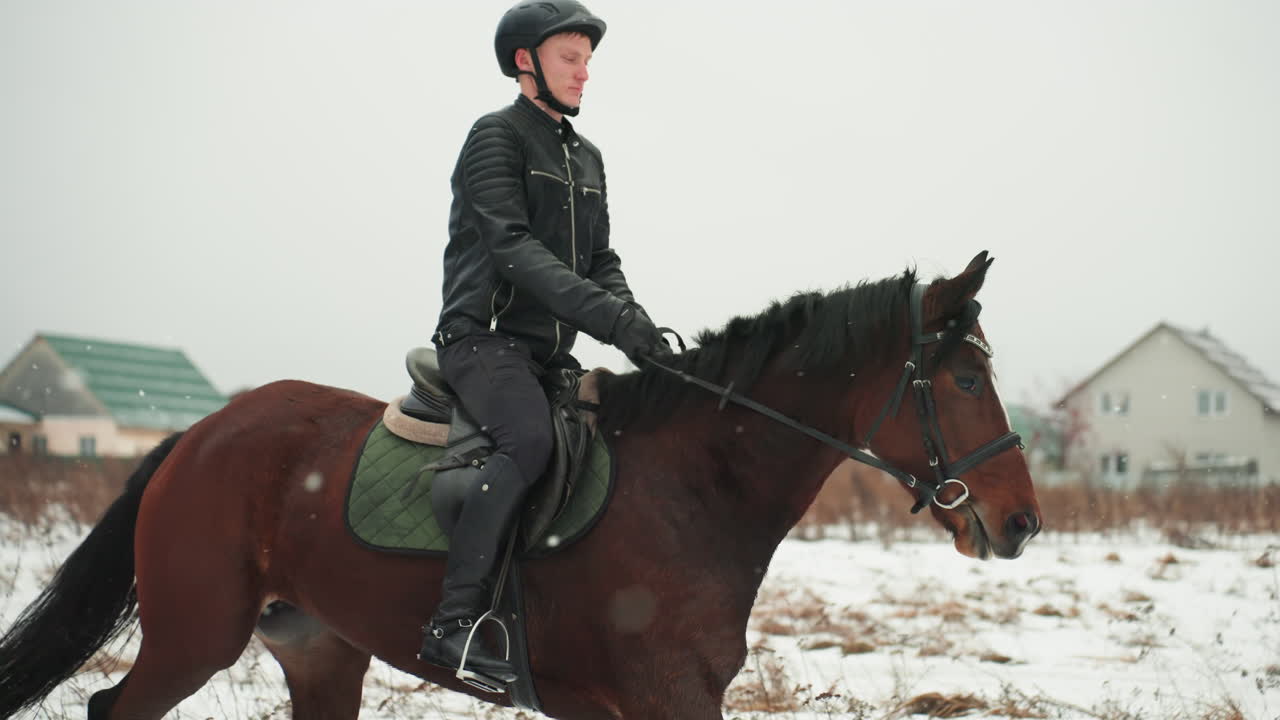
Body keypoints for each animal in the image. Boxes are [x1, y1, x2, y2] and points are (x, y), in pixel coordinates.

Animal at [0, 251, 1041, 720]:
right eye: (964, 379)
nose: (1021, 522)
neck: (695, 490)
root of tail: (201, 435)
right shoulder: (666, 699)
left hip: (321, 650)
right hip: (195, 637)